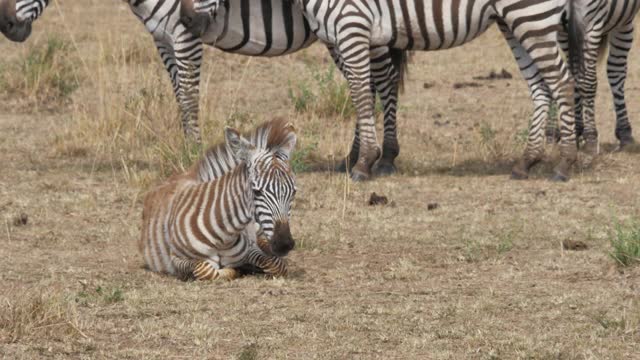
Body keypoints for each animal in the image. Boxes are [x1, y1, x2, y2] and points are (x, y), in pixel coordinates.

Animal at [126, 0, 404, 176]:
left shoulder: (185, 34)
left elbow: (188, 94)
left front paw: (193, 150)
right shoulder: (162, 38)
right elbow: (178, 94)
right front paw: (186, 145)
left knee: (384, 79)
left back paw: (383, 158)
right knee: (367, 83)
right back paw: (353, 157)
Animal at [140, 119, 298, 280]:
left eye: (293, 192)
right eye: (257, 191)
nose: (284, 244)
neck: (223, 237)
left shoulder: (250, 249)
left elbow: (275, 265)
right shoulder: (176, 259)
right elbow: (204, 269)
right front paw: (235, 270)